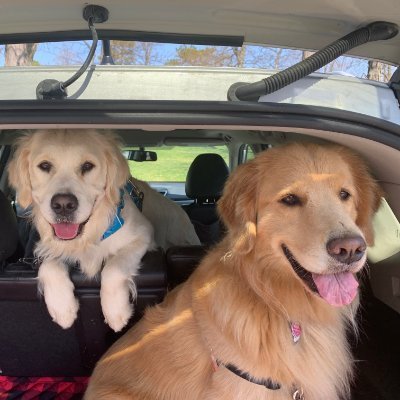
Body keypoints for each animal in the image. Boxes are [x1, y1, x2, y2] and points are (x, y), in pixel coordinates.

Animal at [7, 130, 199, 332]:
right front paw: (63, 309)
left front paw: (116, 312)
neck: (90, 234)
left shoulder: (143, 234)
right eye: (44, 166)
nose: (63, 205)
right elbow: (48, 266)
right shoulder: (51, 246)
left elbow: (113, 268)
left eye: (87, 166)